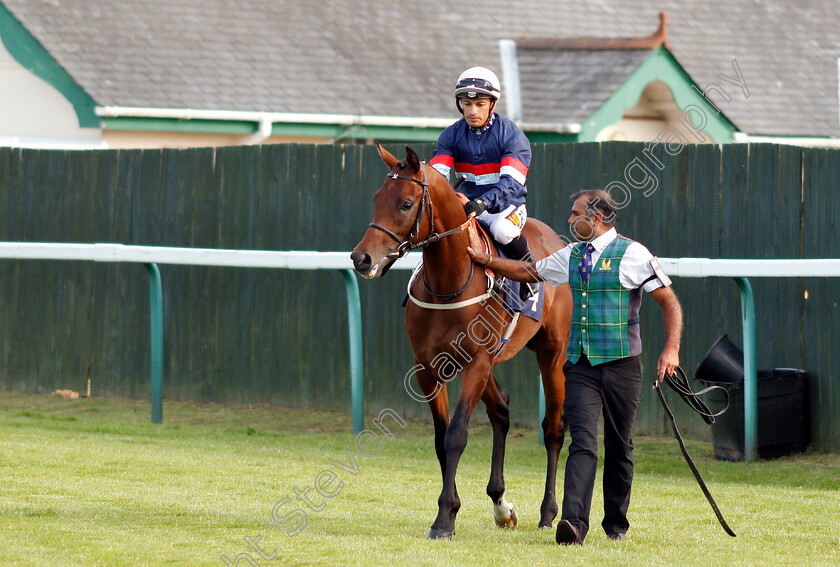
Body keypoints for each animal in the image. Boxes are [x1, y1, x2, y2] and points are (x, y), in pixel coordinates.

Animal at [348, 144, 572, 540]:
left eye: (406, 203)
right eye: (377, 198)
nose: (361, 258)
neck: (448, 283)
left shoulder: (476, 364)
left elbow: (456, 435)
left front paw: (444, 519)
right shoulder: (428, 367)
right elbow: (441, 439)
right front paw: (451, 510)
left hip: (551, 354)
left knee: (553, 430)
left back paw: (548, 513)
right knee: (501, 409)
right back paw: (501, 506)